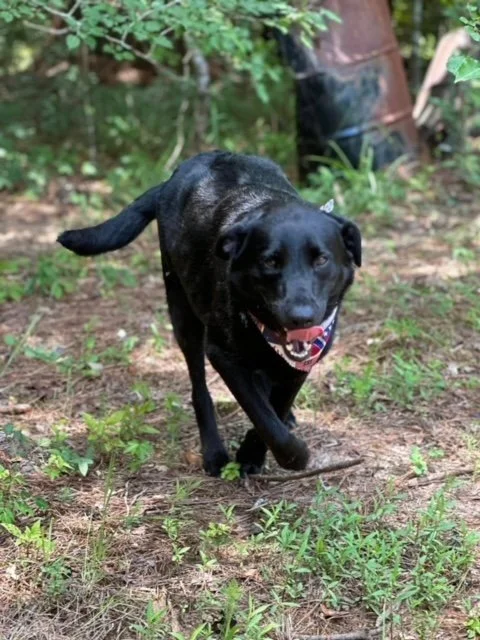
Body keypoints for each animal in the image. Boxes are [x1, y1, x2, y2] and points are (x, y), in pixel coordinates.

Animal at [58, 151, 361, 476]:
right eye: (269, 261)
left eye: (321, 259)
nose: (300, 316)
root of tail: (173, 178)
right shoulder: (222, 354)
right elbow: (263, 416)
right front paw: (291, 456)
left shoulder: (302, 362)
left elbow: (275, 408)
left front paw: (254, 452)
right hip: (183, 314)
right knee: (200, 390)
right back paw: (213, 452)